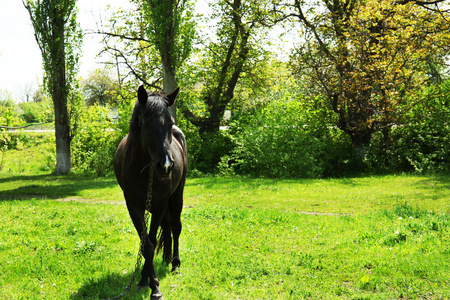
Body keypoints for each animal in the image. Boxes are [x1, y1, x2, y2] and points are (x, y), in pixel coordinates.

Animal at [116, 85, 188, 298]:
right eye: (146, 123)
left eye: (170, 123)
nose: (165, 165)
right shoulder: (133, 205)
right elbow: (145, 243)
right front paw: (144, 280)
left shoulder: (160, 204)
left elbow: (153, 240)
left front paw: (154, 287)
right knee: (168, 225)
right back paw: (166, 259)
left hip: (177, 195)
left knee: (175, 226)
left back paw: (175, 264)